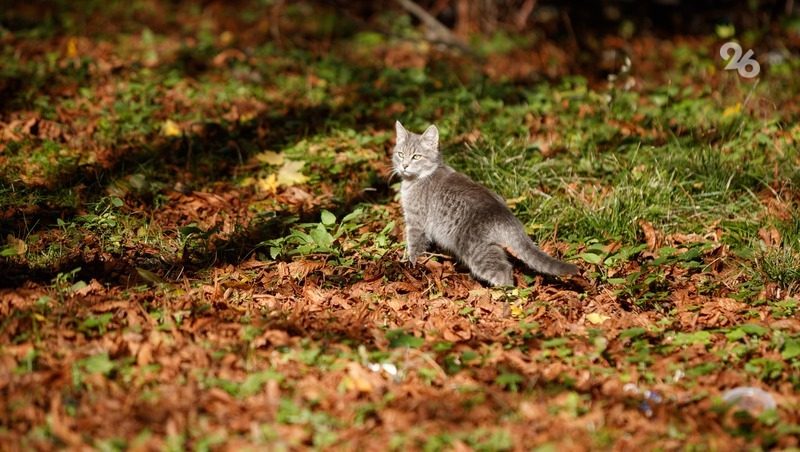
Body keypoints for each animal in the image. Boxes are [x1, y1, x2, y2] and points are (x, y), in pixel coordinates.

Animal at [392, 121, 576, 286]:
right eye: (400, 154)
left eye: (416, 156)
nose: (404, 165)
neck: (418, 179)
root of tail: (508, 217)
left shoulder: (416, 222)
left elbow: (414, 245)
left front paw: (410, 263)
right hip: (489, 246)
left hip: (475, 250)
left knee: (503, 271)